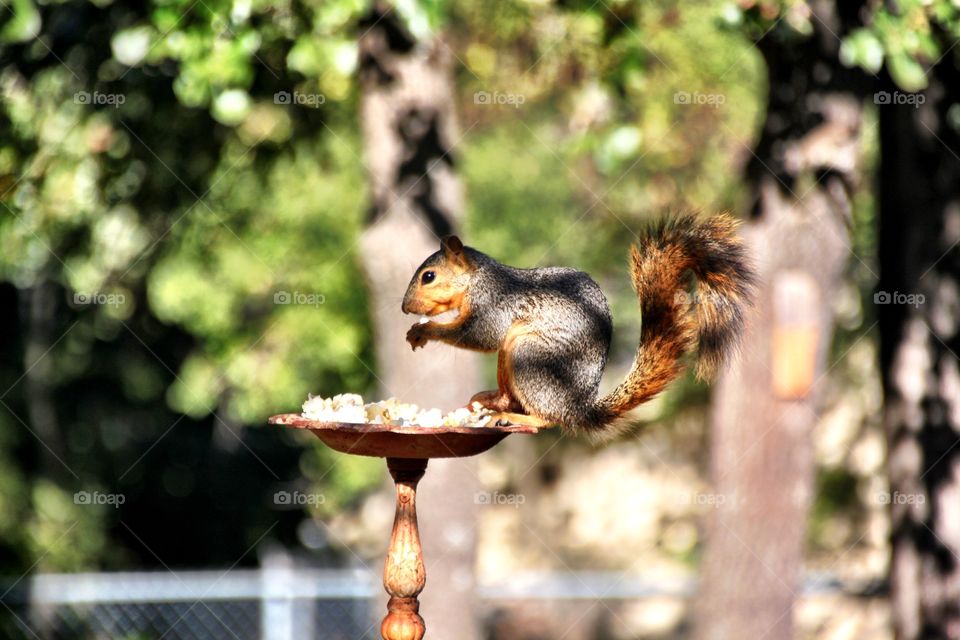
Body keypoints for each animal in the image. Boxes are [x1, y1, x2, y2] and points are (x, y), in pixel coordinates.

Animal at [400, 215, 756, 440]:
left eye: (428, 276)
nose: (405, 308)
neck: (476, 279)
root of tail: (579, 409)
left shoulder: (494, 305)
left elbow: (478, 334)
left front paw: (424, 330)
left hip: (529, 356)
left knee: (546, 419)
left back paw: (515, 416)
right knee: (515, 399)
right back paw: (494, 402)